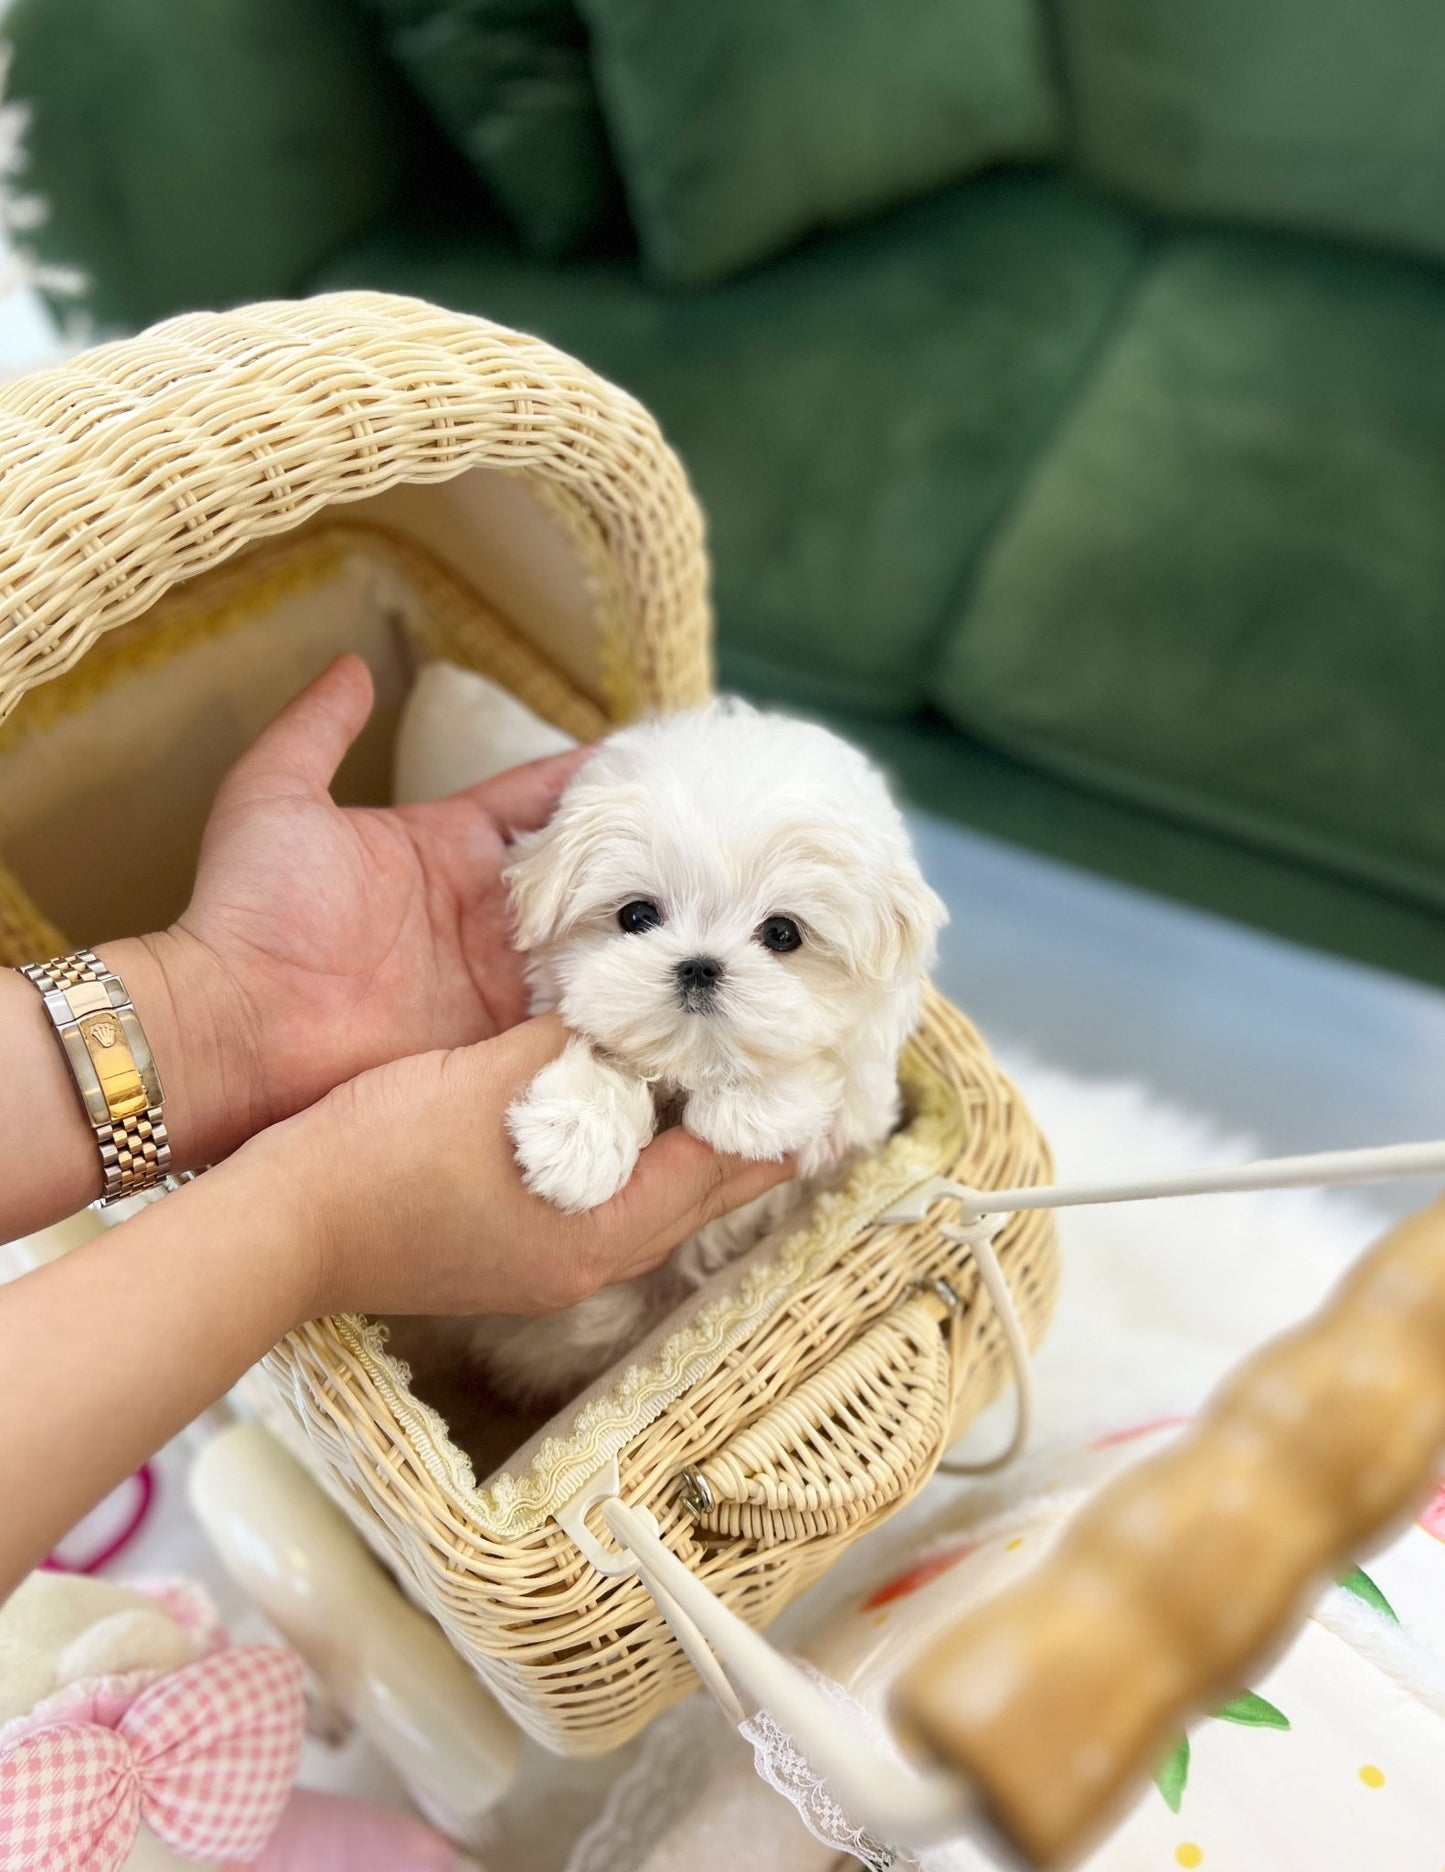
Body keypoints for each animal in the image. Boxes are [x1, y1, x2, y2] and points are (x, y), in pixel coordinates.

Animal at [460, 703, 947, 1407]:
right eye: (637, 916)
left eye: (783, 933)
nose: (698, 965)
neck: (692, 1065)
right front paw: (574, 1140)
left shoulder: (861, 1115)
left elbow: (831, 1081)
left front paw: (749, 1108)